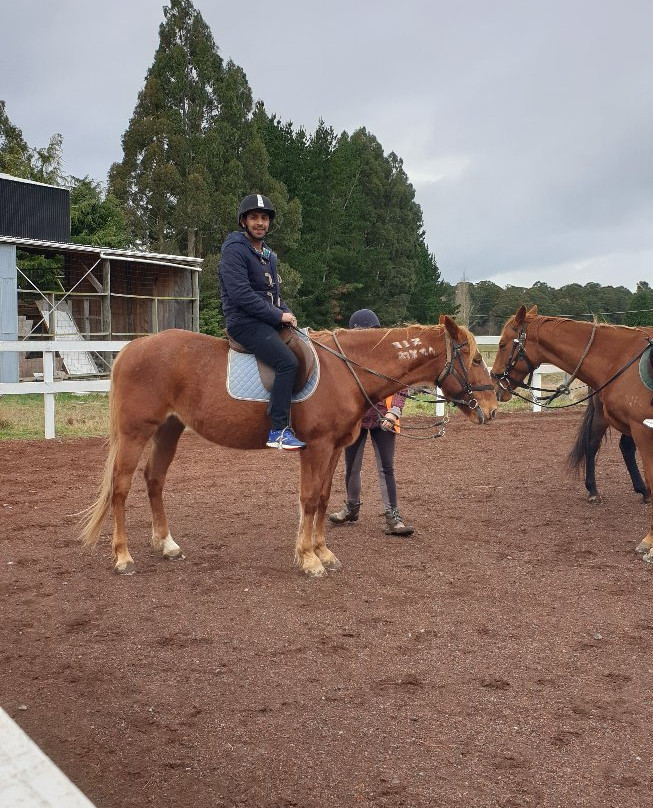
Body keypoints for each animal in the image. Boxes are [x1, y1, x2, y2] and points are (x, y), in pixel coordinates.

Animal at [83, 316, 500, 576]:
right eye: (478, 358)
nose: (494, 407)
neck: (346, 370)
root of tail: (131, 349)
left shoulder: (334, 448)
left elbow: (325, 497)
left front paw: (323, 553)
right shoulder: (315, 447)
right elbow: (310, 499)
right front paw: (308, 559)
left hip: (169, 429)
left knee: (154, 480)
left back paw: (166, 544)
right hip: (135, 432)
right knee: (121, 488)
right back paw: (123, 557)